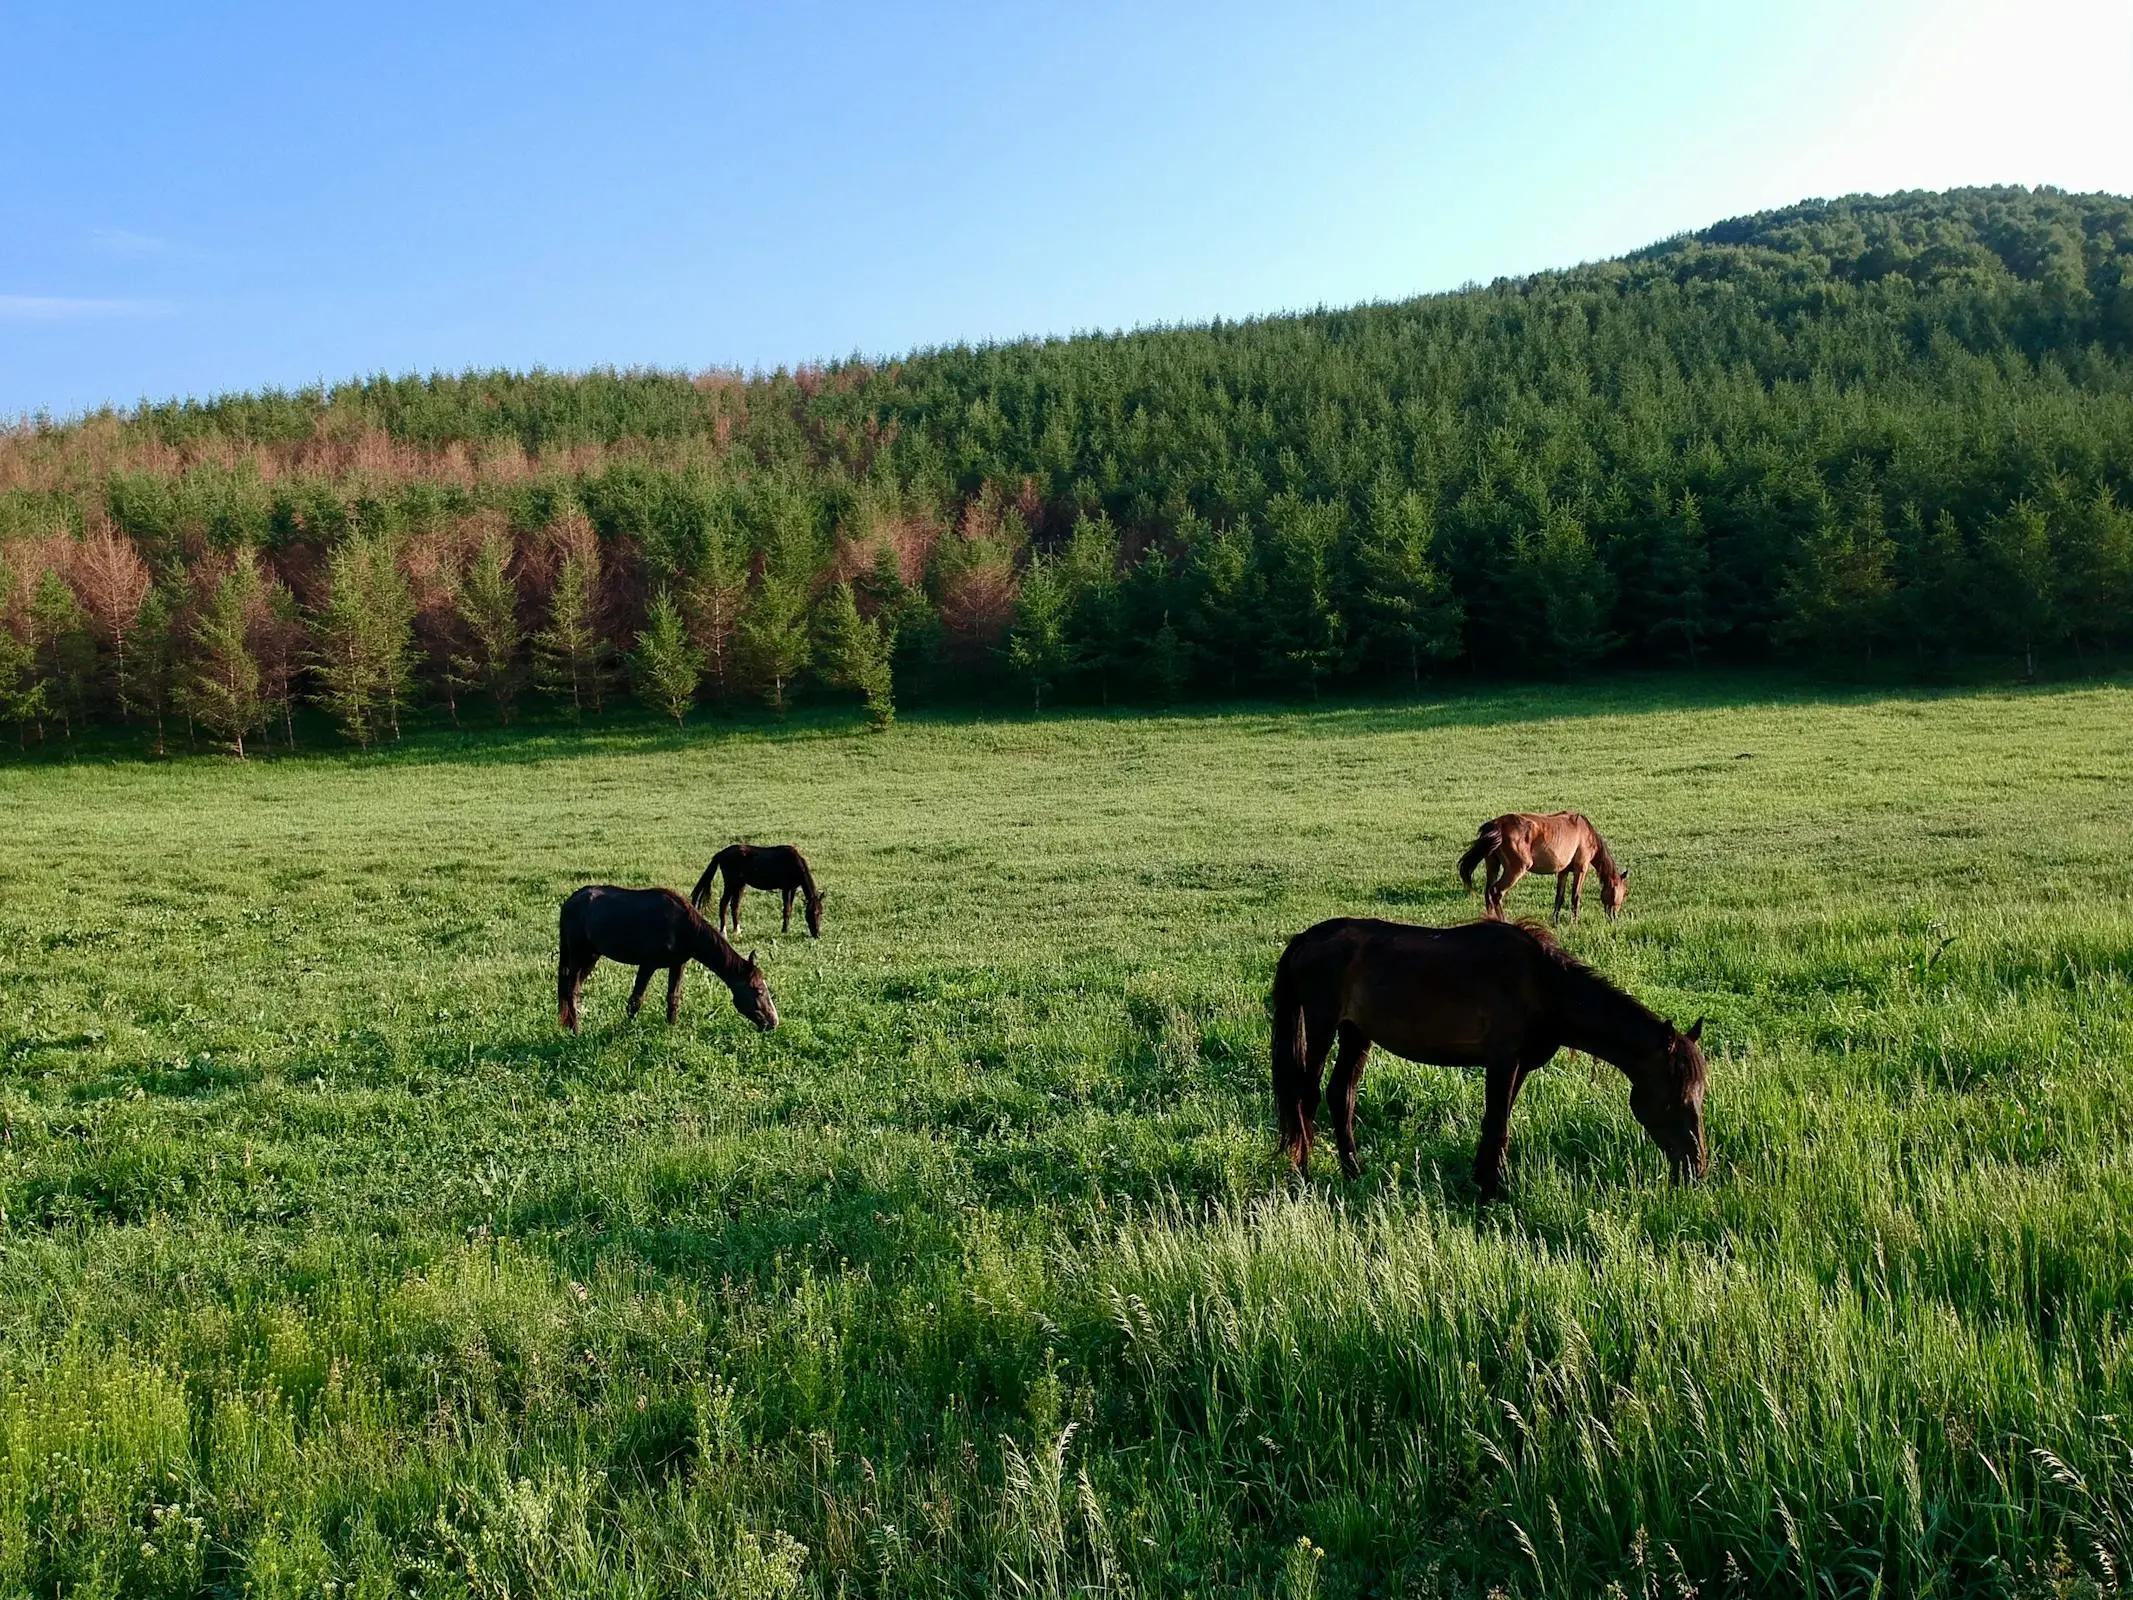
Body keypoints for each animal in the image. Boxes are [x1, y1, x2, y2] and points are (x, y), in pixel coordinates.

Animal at [558, 885, 778, 1033]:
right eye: (758, 991)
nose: (774, 1021)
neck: (684, 927)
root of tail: (569, 902)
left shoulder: (677, 964)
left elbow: (673, 998)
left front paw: (671, 1030)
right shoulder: (648, 964)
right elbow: (635, 1001)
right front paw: (625, 1030)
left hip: (592, 956)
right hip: (578, 955)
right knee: (571, 990)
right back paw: (576, 1031)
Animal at [690, 844, 823, 939]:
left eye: (821, 913)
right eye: (811, 913)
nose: (817, 935)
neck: (793, 863)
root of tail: (721, 853)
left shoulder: (793, 888)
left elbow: (789, 909)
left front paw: (786, 929)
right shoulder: (786, 888)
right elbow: (787, 909)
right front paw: (784, 931)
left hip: (740, 884)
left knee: (735, 906)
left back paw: (737, 931)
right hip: (730, 883)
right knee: (723, 904)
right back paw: (723, 933)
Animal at [1270, 916, 1705, 1197]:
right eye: (1673, 1100)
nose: (1695, 1168)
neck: (1543, 987)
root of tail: (1306, 938)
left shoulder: (1520, 1066)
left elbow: (1498, 1123)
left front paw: (1484, 1179)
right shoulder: (1502, 1061)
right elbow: (1496, 1125)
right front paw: (1492, 1194)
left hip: (1355, 1034)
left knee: (1341, 1096)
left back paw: (1353, 1172)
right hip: (1322, 1024)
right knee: (1306, 1097)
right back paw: (1304, 1176)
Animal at [1458, 811, 1627, 922]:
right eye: (1621, 892)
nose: (1614, 917)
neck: (1585, 832)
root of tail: (1496, 825)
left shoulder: (1563, 871)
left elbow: (1559, 897)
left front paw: (1555, 921)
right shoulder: (1581, 868)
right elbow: (1575, 896)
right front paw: (1574, 922)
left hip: (1492, 865)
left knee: (1488, 893)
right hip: (1516, 869)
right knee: (1496, 892)